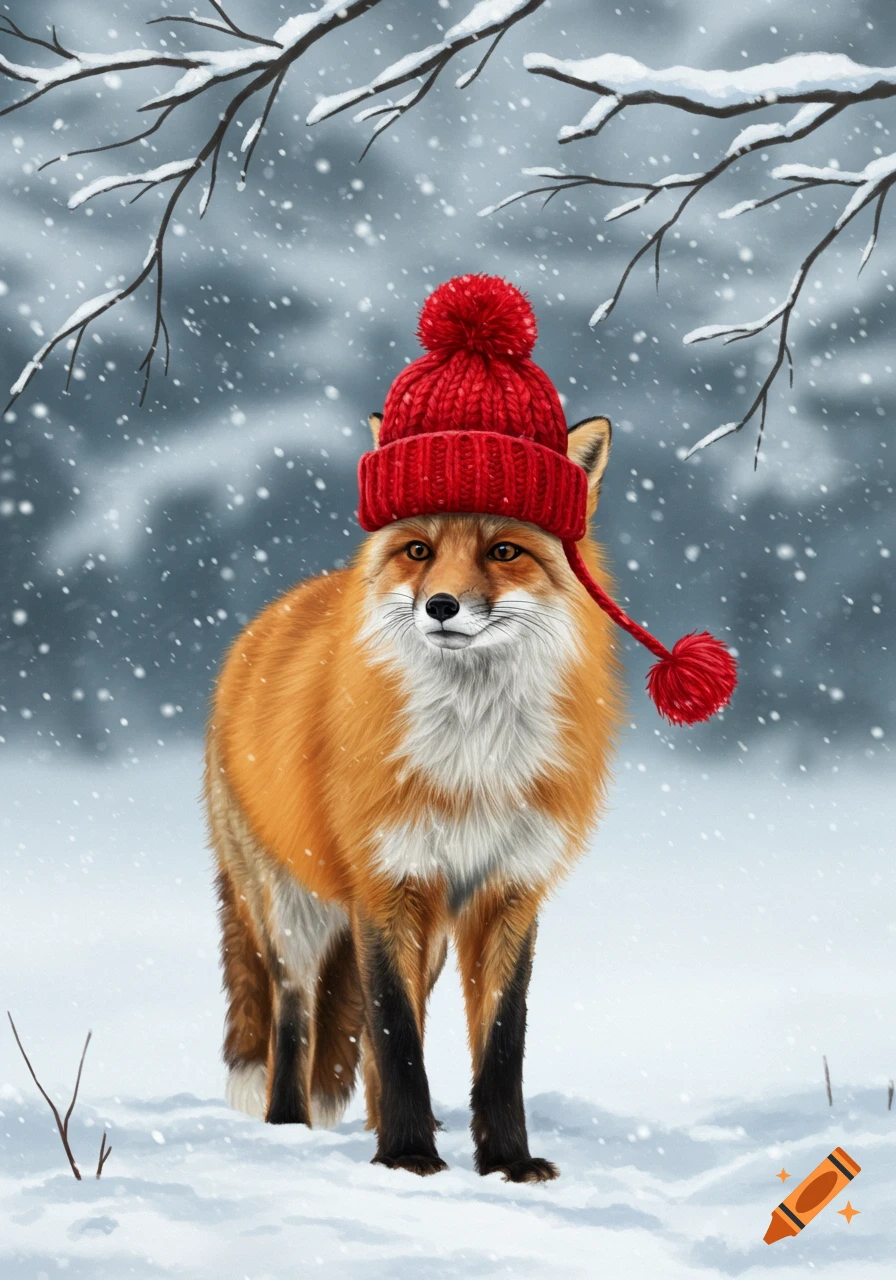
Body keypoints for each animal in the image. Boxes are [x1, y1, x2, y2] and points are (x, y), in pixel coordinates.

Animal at [204, 411, 623, 1181]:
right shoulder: (385, 884)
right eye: (419, 551)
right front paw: (406, 1157)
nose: (441, 606)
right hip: (295, 913)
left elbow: (498, 1044)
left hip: (427, 936)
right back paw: (291, 1129)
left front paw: (508, 1162)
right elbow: (396, 1035)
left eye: (504, 550)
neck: (471, 764)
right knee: (295, 1018)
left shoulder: (507, 891)